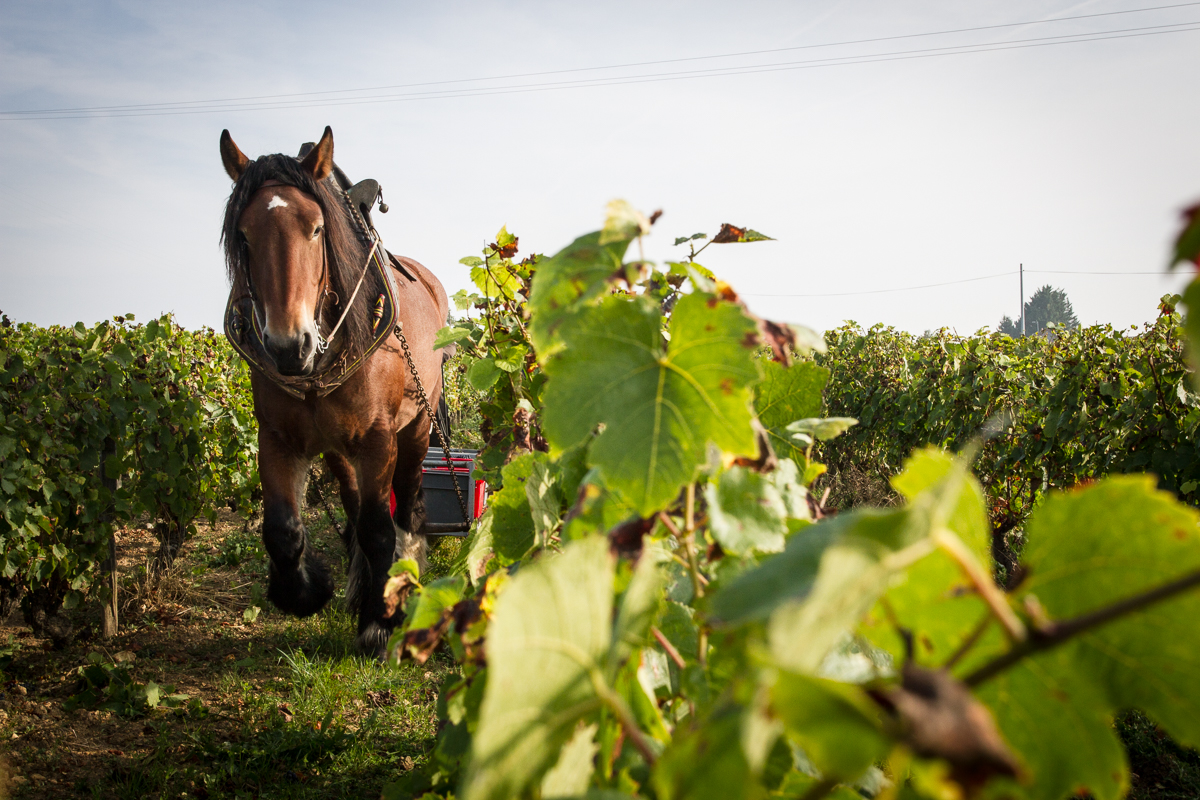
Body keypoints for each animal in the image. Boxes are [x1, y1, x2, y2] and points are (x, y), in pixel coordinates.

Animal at [218, 126, 448, 657]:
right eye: (243, 235)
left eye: (317, 228)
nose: (289, 345)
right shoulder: (277, 437)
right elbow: (283, 529)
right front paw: (308, 590)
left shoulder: (379, 438)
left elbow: (379, 529)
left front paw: (380, 622)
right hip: (338, 449)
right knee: (353, 504)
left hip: (417, 426)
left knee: (406, 505)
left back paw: (403, 576)